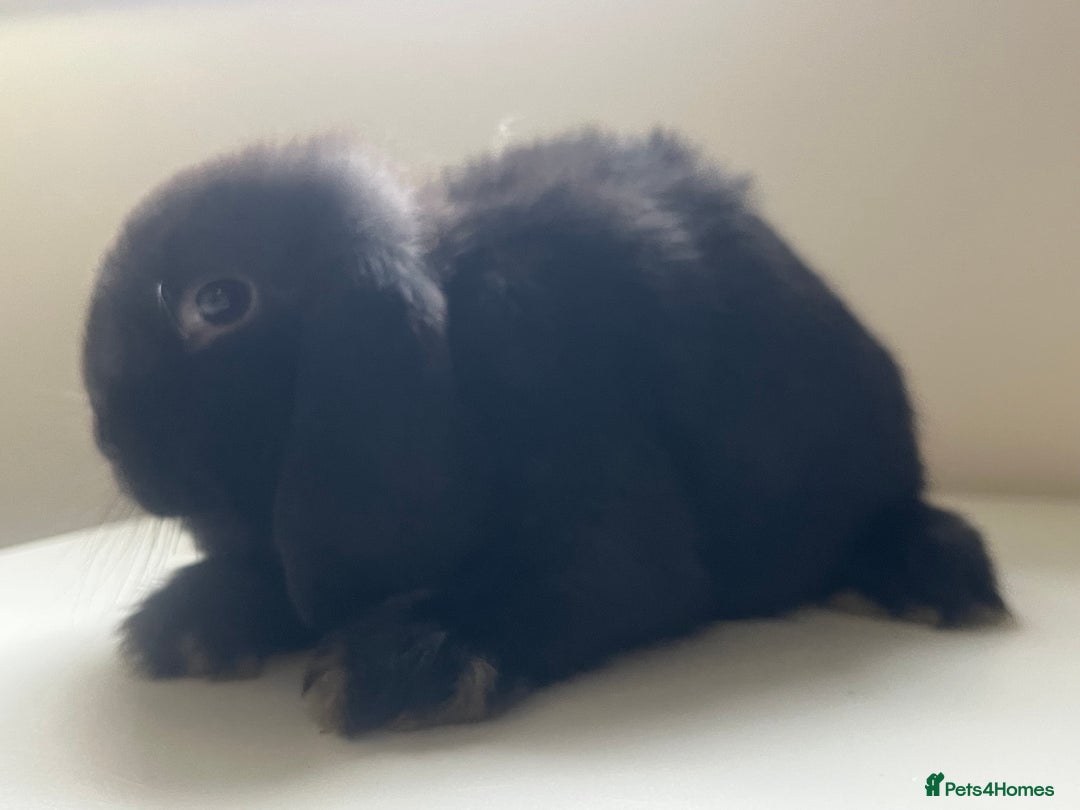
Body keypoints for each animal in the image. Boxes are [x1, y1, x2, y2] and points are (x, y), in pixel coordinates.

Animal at [82, 129, 1006, 735]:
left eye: (219, 302)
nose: (107, 435)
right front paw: (186, 625)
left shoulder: (598, 499)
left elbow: (565, 585)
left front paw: (402, 662)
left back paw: (929, 580)